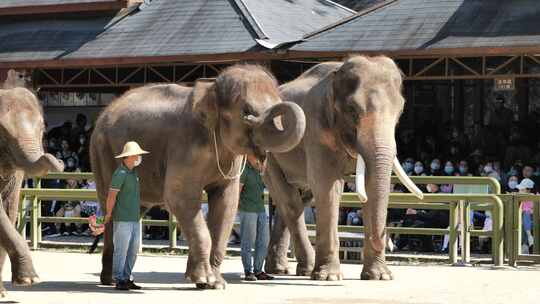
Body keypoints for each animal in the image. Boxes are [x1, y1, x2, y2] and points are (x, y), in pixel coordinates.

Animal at [0, 86, 64, 296]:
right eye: (1, 132)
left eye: (42, 128)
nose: (60, 159)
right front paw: (30, 280)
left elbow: (9, 209)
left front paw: (5, 292)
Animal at [90, 64, 306, 290]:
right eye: (245, 111)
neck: (212, 87)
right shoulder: (184, 145)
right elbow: (179, 197)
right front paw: (205, 280)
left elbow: (226, 202)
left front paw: (215, 283)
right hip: (102, 153)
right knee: (111, 208)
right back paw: (112, 281)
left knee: (135, 209)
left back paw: (117, 280)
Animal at [264, 55, 424, 282]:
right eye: (352, 111)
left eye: (400, 111)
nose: (390, 243)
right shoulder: (315, 128)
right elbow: (328, 187)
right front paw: (329, 277)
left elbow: (369, 187)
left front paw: (379, 277)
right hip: (269, 153)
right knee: (291, 202)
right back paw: (306, 269)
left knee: (296, 200)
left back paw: (282, 270)